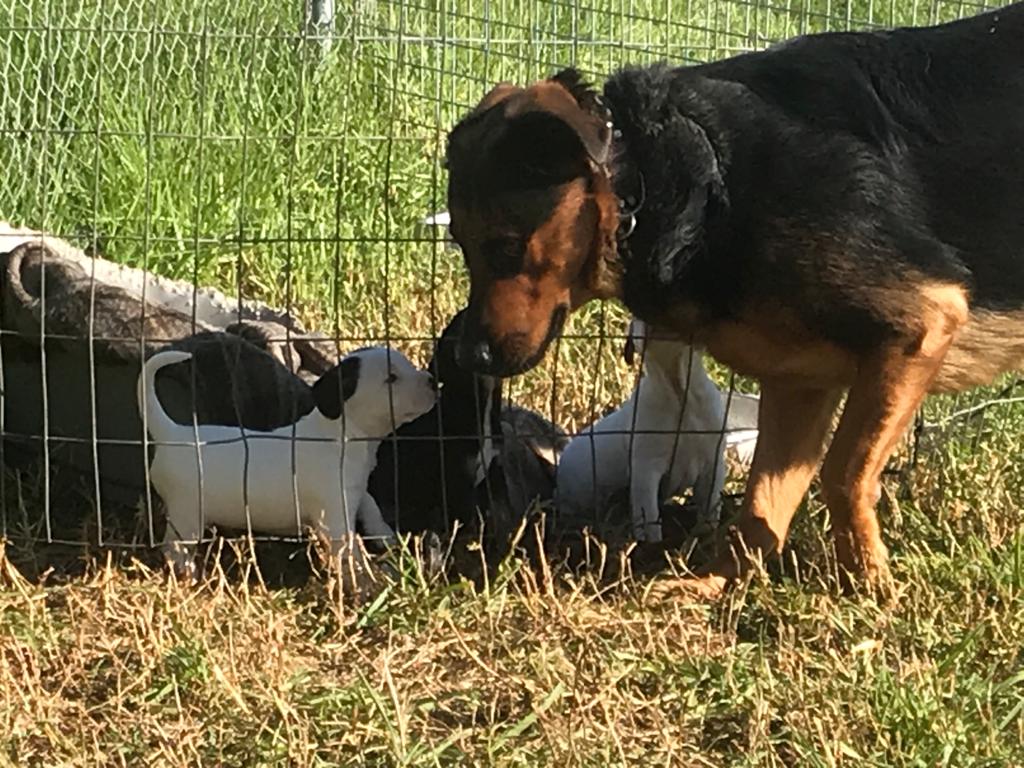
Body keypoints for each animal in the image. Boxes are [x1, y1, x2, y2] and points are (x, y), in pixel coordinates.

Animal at [139, 346, 436, 576]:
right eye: (391, 378)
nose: (432, 380)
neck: (341, 433)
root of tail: (171, 433)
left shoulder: (354, 489)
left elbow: (370, 505)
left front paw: (385, 535)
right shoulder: (335, 516)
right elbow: (348, 548)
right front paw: (367, 575)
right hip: (187, 514)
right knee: (174, 548)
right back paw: (188, 572)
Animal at [556, 318, 726, 541]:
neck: (679, 395)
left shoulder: (713, 466)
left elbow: (710, 509)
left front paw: (708, 538)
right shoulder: (646, 472)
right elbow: (650, 517)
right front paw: (651, 544)